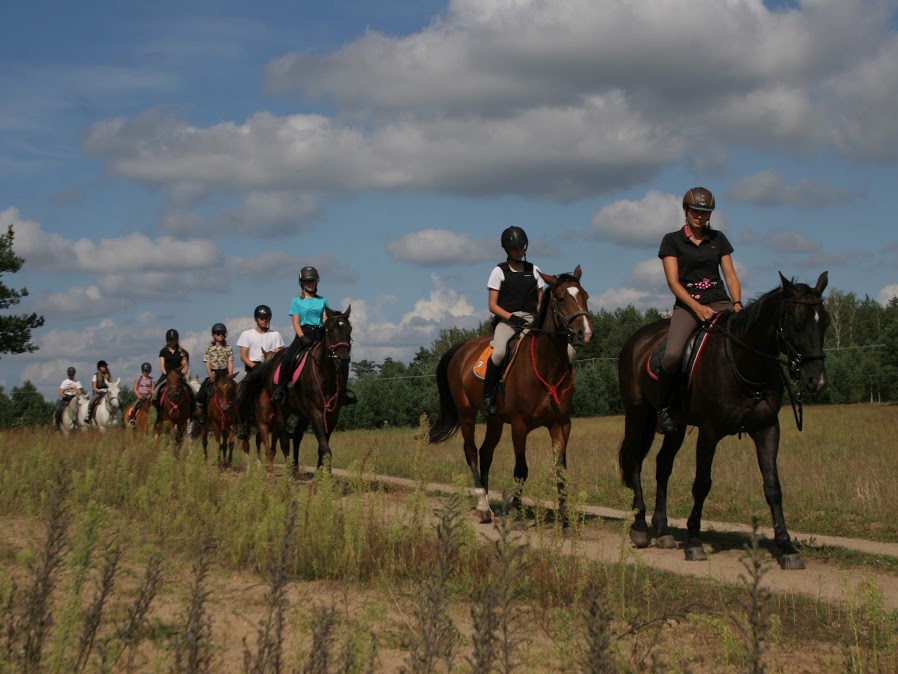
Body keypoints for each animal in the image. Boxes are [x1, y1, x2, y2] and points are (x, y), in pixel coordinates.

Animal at [240, 308, 352, 470]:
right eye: (330, 330)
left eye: (349, 330)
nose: (343, 358)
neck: (326, 372)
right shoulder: (315, 412)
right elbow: (325, 448)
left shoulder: (332, 414)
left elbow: (323, 447)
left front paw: (323, 473)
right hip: (280, 412)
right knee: (283, 443)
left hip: (301, 415)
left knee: (296, 438)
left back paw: (294, 467)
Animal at [428, 266, 592, 524]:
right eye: (561, 298)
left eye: (585, 296)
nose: (585, 333)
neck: (546, 365)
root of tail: (463, 347)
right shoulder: (519, 425)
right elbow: (521, 470)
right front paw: (517, 512)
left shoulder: (561, 423)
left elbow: (560, 469)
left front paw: (565, 516)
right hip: (467, 413)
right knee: (471, 451)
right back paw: (483, 505)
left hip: (495, 419)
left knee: (486, 452)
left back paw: (488, 503)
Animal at [616, 270, 824, 568]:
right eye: (796, 324)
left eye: (825, 323)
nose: (816, 380)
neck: (745, 361)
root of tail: (637, 340)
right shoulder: (709, 432)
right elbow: (702, 484)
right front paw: (694, 542)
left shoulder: (767, 429)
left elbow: (773, 486)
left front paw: (787, 547)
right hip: (637, 414)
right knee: (634, 459)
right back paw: (641, 528)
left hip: (676, 425)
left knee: (663, 465)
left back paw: (664, 530)